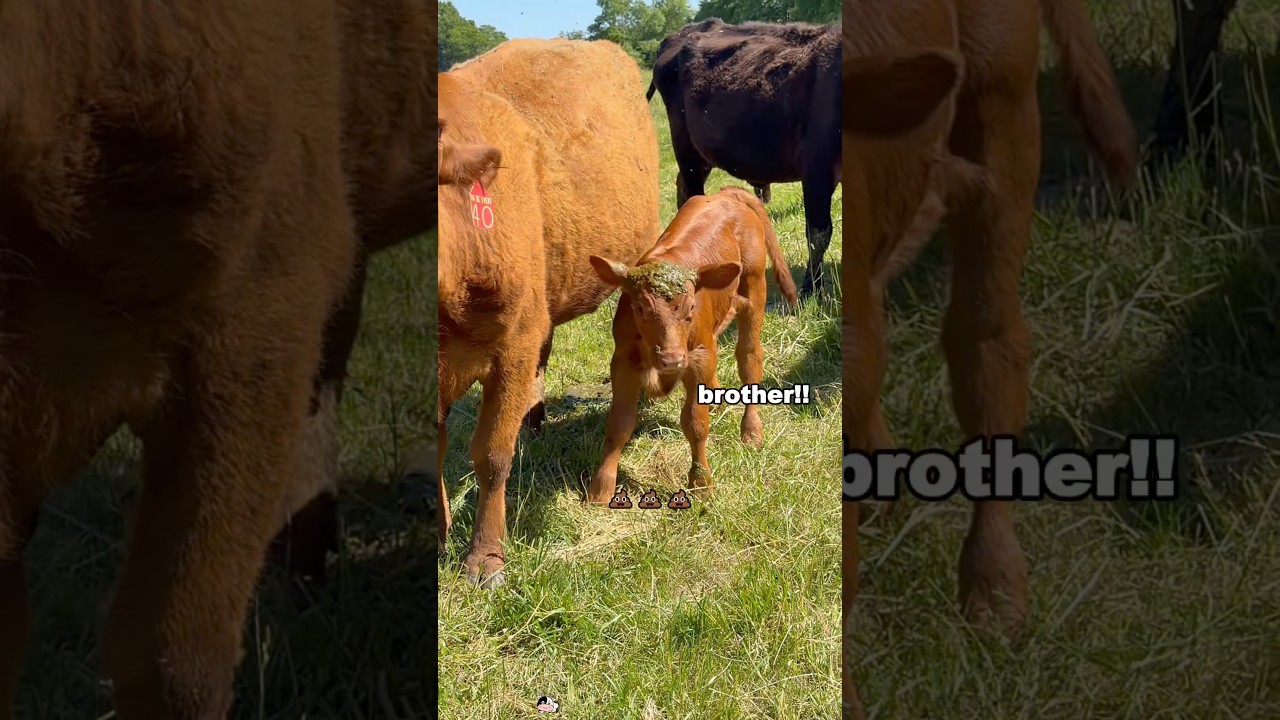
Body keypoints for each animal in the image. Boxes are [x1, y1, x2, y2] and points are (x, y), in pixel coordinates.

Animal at [585, 187, 799, 504]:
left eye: (690, 310)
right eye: (639, 308)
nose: (672, 359)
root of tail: (725, 195)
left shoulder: (697, 358)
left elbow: (695, 423)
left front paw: (701, 483)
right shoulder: (623, 359)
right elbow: (619, 423)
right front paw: (600, 489)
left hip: (754, 288)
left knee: (749, 357)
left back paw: (751, 432)